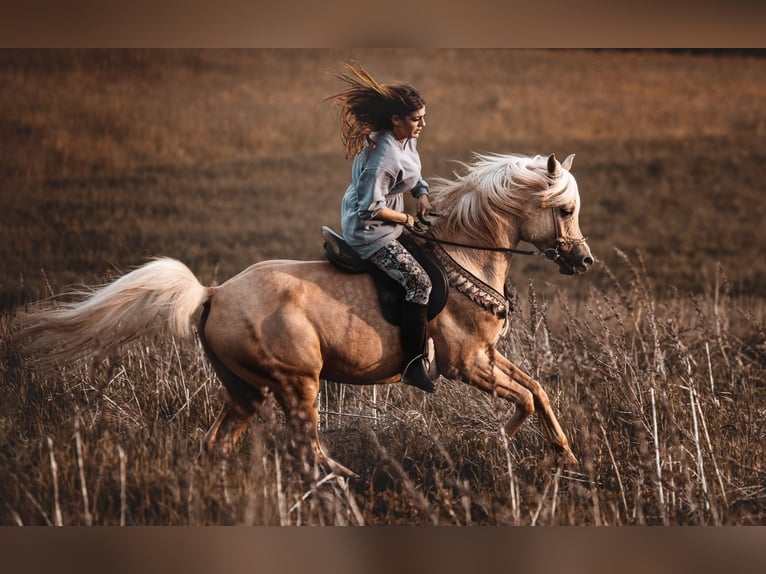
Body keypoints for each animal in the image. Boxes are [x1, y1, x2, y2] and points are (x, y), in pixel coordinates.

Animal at [16, 152, 592, 476]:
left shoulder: (486, 356)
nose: (583, 260)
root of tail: (213, 294)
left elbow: (537, 391)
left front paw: (563, 456)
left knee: (217, 444)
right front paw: (505, 440)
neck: (463, 257)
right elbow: (525, 397)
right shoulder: (466, 363)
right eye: (565, 209)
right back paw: (343, 484)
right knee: (306, 448)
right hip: (299, 381)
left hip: (246, 391)